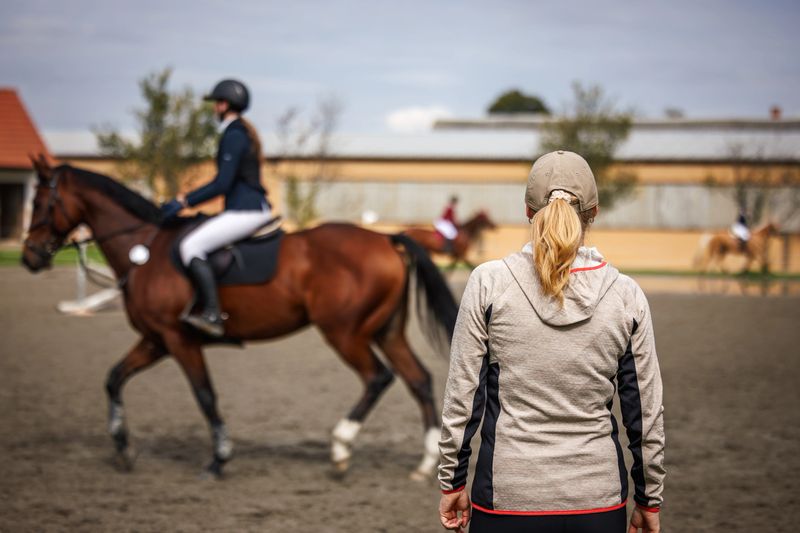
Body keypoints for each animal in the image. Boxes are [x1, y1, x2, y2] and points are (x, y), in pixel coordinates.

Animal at [21, 155, 458, 480]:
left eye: (41, 203)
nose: (29, 257)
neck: (144, 251)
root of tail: (387, 239)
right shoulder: (156, 339)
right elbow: (114, 378)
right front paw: (123, 448)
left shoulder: (178, 340)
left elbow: (204, 395)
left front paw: (219, 459)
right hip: (386, 330)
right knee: (418, 379)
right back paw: (425, 465)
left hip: (344, 332)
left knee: (378, 378)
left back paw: (340, 448)